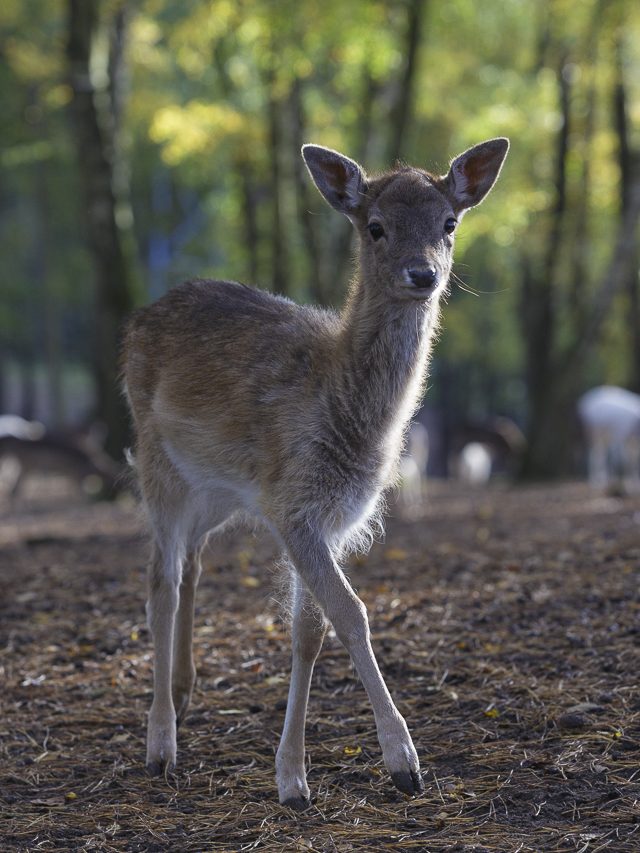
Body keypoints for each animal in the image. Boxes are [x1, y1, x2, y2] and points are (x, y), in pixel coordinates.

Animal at [122, 136, 508, 808]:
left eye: (449, 224)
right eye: (375, 226)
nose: (423, 274)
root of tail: (135, 323)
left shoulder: (327, 517)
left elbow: (309, 631)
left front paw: (293, 778)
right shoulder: (294, 506)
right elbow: (351, 613)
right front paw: (403, 763)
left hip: (215, 492)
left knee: (191, 561)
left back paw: (184, 690)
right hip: (156, 463)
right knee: (159, 581)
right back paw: (161, 746)